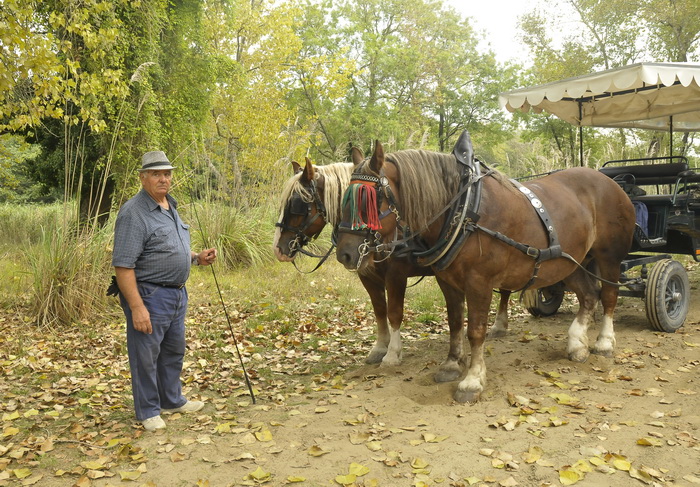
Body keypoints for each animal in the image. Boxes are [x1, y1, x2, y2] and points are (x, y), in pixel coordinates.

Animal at [274, 156, 516, 366]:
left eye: (297, 204)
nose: (279, 249)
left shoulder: (396, 275)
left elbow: (394, 313)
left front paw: (392, 353)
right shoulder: (367, 275)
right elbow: (380, 310)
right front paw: (379, 348)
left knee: (505, 291)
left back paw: (499, 324)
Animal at [336, 142, 636, 404]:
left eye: (369, 199)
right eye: (344, 198)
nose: (345, 254)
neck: (465, 211)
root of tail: (611, 182)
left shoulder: (479, 282)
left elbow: (476, 331)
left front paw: (472, 380)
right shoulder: (447, 282)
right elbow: (455, 323)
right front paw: (451, 365)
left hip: (609, 257)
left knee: (609, 295)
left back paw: (604, 342)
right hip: (569, 262)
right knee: (589, 296)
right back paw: (576, 344)